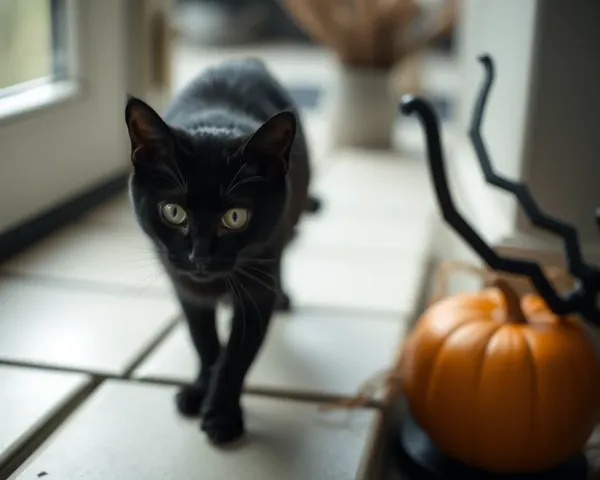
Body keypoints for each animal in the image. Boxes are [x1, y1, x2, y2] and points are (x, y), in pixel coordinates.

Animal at [125, 58, 316, 444]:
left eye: (235, 217)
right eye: (173, 212)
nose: (200, 257)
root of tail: (246, 59)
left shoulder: (256, 293)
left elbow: (235, 357)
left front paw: (222, 416)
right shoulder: (187, 290)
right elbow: (204, 343)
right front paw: (200, 390)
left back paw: (284, 296)